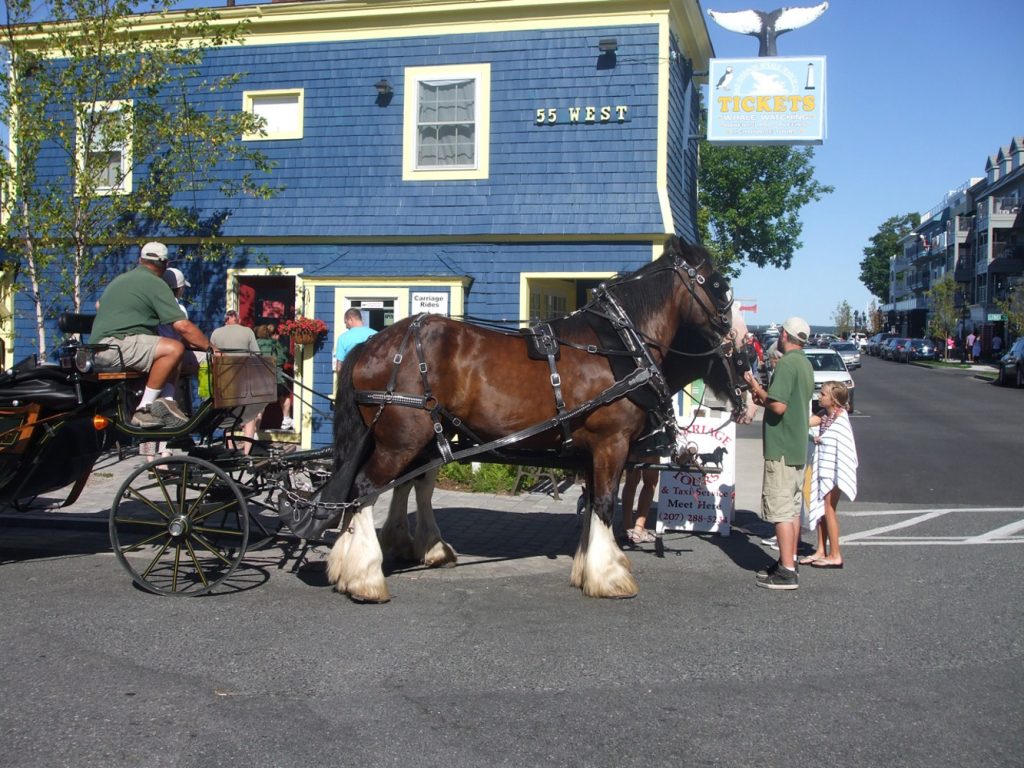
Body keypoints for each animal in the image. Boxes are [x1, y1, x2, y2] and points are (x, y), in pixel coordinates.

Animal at [323, 237, 757, 606]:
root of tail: (373, 344)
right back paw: (364, 578)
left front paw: (587, 568)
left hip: (426, 437)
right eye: (720, 285)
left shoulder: (590, 452)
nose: (740, 339)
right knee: (365, 489)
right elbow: (604, 504)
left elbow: (591, 505)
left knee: (404, 487)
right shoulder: (611, 443)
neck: (620, 346)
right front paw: (610, 576)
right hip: (402, 440)